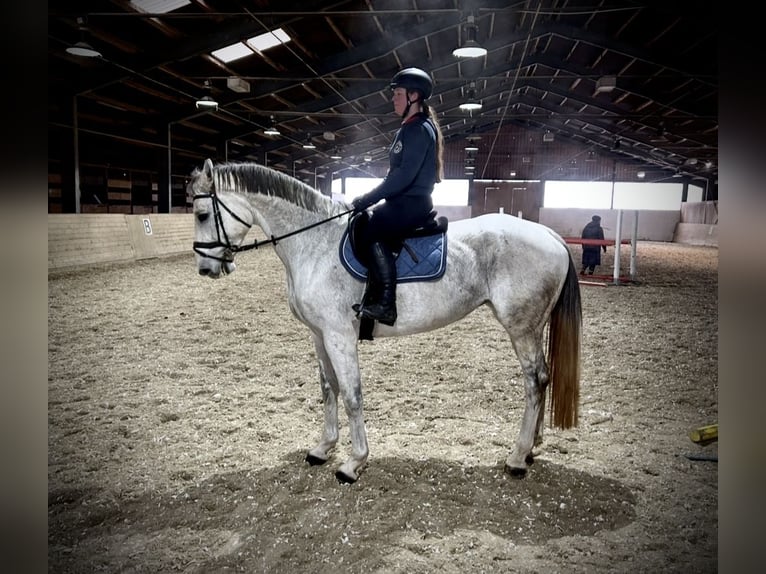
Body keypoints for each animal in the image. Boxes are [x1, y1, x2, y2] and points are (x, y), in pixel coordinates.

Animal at [190, 159, 584, 486]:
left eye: (200, 214)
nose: (206, 269)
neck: (314, 243)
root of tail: (550, 235)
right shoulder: (319, 335)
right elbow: (329, 389)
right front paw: (323, 448)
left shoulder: (339, 335)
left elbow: (352, 395)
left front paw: (354, 463)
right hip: (533, 327)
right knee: (543, 379)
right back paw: (533, 447)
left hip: (521, 328)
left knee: (535, 381)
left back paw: (517, 457)